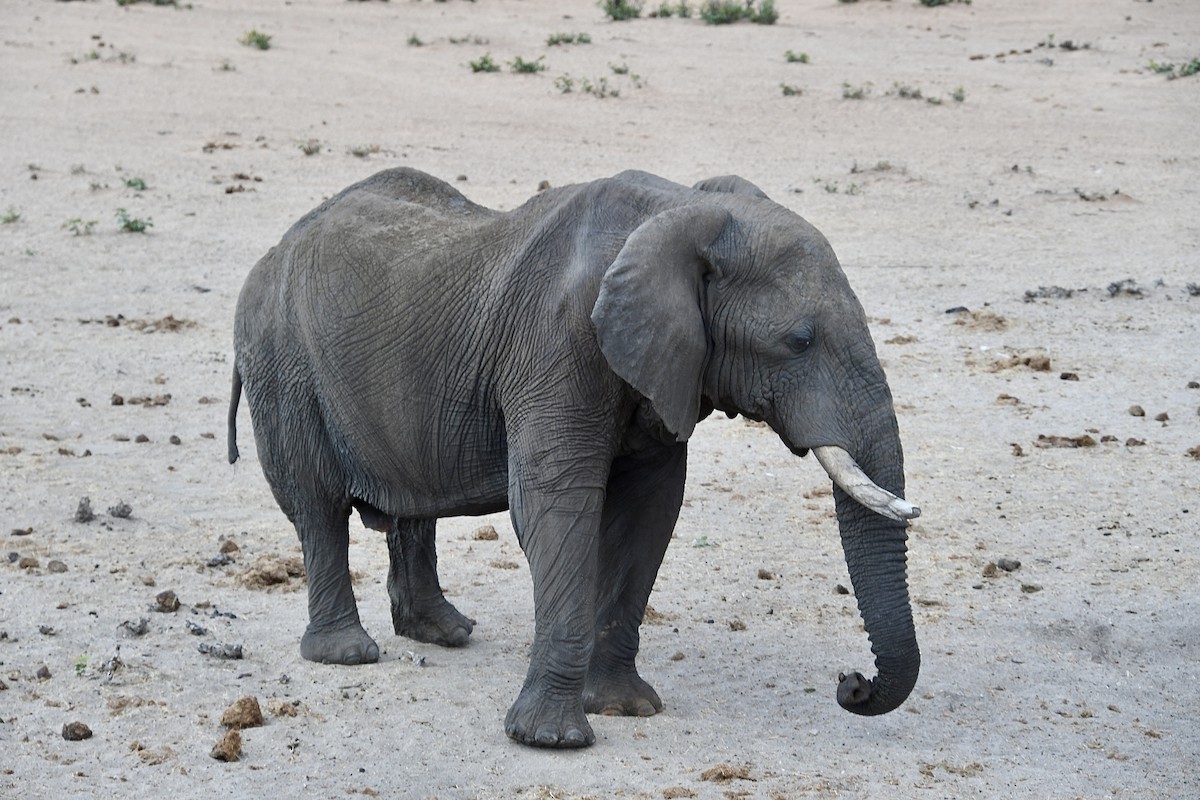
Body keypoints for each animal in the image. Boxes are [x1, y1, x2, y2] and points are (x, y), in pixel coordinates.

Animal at [227, 166, 921, 748]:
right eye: (798, 341)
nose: (850, 683)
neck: (678, 209)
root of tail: (273, 250)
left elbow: (648, 515)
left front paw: (622, 708)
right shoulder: (556, 345)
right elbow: (555, 507)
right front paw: (550, 740)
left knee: (410, 507)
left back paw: (444, 633)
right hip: (282, 365)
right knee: (318, 508)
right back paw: (347, 653)